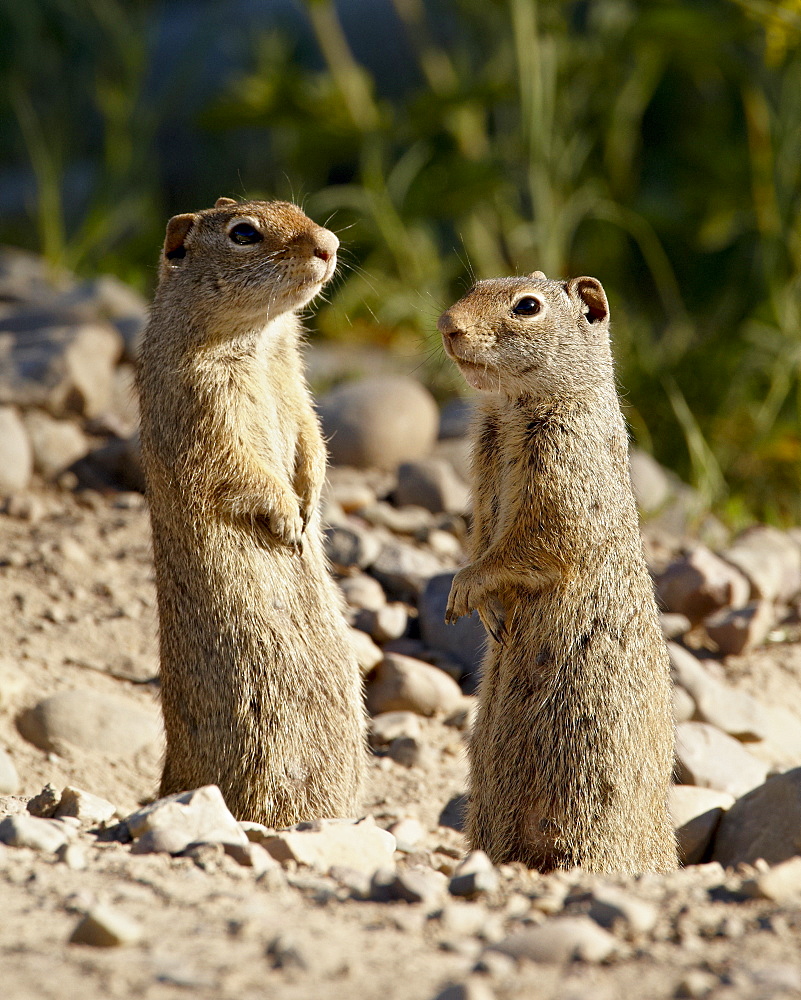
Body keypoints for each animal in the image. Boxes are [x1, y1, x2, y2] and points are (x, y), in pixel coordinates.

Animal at [137, 197, 366, 828]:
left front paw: (310, 503)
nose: (329, 244)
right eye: (244, 234)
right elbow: (240, 470)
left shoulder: (296, 386)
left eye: (298, 209)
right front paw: (288, 520)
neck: (261, 343)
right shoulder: (205, 411)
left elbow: (312, 439)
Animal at [438, 270, 676, 872]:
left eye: (527, 307)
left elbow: (532, 544)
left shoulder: (563, 476)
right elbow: (481, 538)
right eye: (476, 284)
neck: (509, 408)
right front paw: (486, 612)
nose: (447, 324)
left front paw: (465, 589)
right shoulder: (482, 481)